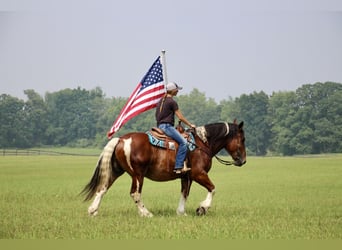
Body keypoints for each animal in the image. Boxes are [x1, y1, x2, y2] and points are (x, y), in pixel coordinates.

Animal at [80, 119, 246, 217]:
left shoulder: (186, 177)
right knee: (135, 193)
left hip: (116, 171)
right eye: (243, 139)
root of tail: (121, 139)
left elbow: (185, 194)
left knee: (102, 189)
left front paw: (181, 212)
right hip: (137, 175)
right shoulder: (198, 174)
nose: (243, 160)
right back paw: (146, 213)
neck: (202, 143)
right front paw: (202, 208)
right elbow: (212, 188)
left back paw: (93, 211)